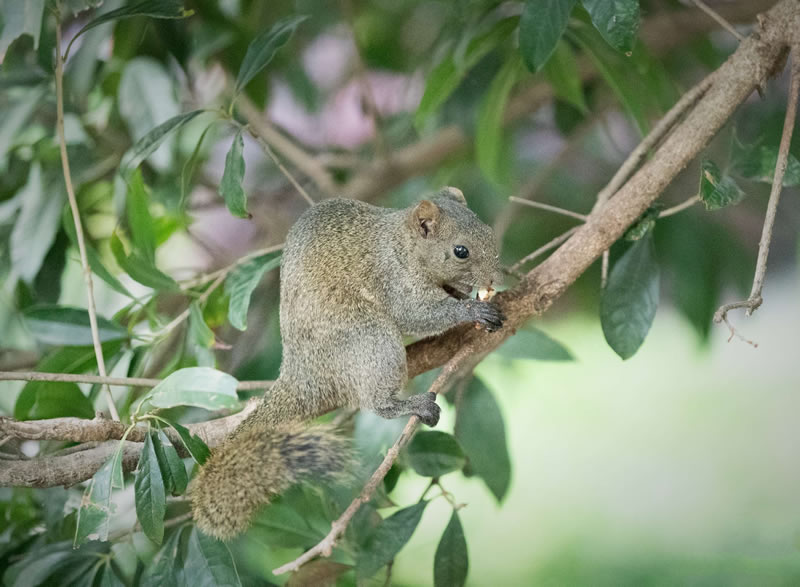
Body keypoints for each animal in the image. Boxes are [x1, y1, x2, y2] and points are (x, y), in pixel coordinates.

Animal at [191, 188, 504, 544]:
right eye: (460, 251)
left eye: (489, 232)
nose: (495, 277)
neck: (402, 246)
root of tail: (302, 372)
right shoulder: (394, 279)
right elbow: (417, 314)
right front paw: (472, 311)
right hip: (370, 337)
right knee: (376, 401)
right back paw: (409, 404)